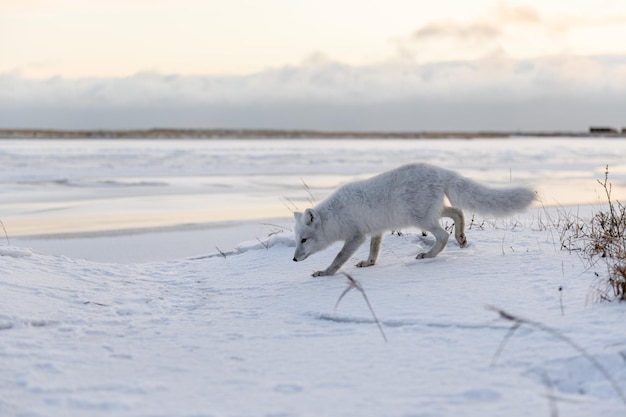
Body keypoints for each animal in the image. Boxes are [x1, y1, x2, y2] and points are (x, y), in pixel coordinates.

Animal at [290, 162, 532, 276]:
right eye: (297, 240)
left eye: (304, 240)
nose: (293, 259)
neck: (336, 215)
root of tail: (439, 170)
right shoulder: (376, 230)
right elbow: (374, 250)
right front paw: (369, 263)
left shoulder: (356, 236)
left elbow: (339, 257)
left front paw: (325, 273)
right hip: (431, 213)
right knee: (457, 211)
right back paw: (461, 238)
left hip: (422, 219)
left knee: (443, 235)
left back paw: (428, 254)